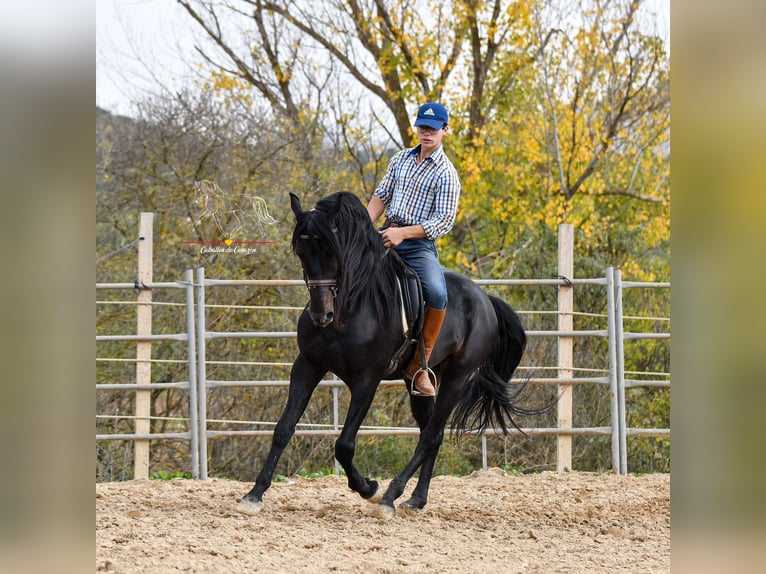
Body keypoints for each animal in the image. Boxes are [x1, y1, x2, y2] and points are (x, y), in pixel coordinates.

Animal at [237, 194, 544, 520]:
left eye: (333, 253)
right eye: (302, 253)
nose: (321, 315)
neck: (351, 306)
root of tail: (486, 300)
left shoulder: (367, 379)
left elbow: (344, 444)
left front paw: (369, 488)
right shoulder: (308, 366)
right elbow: (283, 429)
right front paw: (254, 495)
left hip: (457, 378)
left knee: (429, 435)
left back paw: (389, 497)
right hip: (419, 383)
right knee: (433, 435)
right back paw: (416, 500)